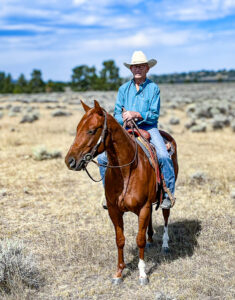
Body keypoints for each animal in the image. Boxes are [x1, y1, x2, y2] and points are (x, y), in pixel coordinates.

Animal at [65, 99, 177, 284]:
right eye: (77, 129)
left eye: (91, 130)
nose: (70, 161)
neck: (126, 171)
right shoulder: (114, 210)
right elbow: (120, 240)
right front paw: (118, 273)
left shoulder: (143, 208)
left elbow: (139, 240)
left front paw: (142, 274)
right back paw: (151, 239)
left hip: (164, 197)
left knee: (166, 215)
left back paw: (165, 245)